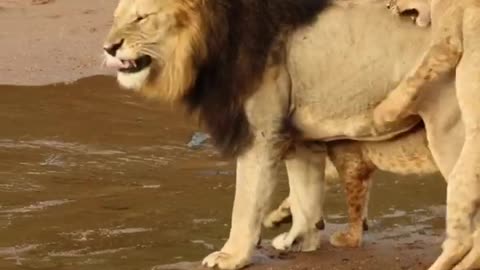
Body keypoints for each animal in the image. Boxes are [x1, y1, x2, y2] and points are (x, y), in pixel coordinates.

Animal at [103, 0, 478, 270]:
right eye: (115, 18)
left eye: (141, 18)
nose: (109, 47)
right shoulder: (300, 137)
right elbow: (304, 193)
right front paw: (301, 239)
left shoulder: (261, 134)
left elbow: (245, 203)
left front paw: (231, 256)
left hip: (450, 136)